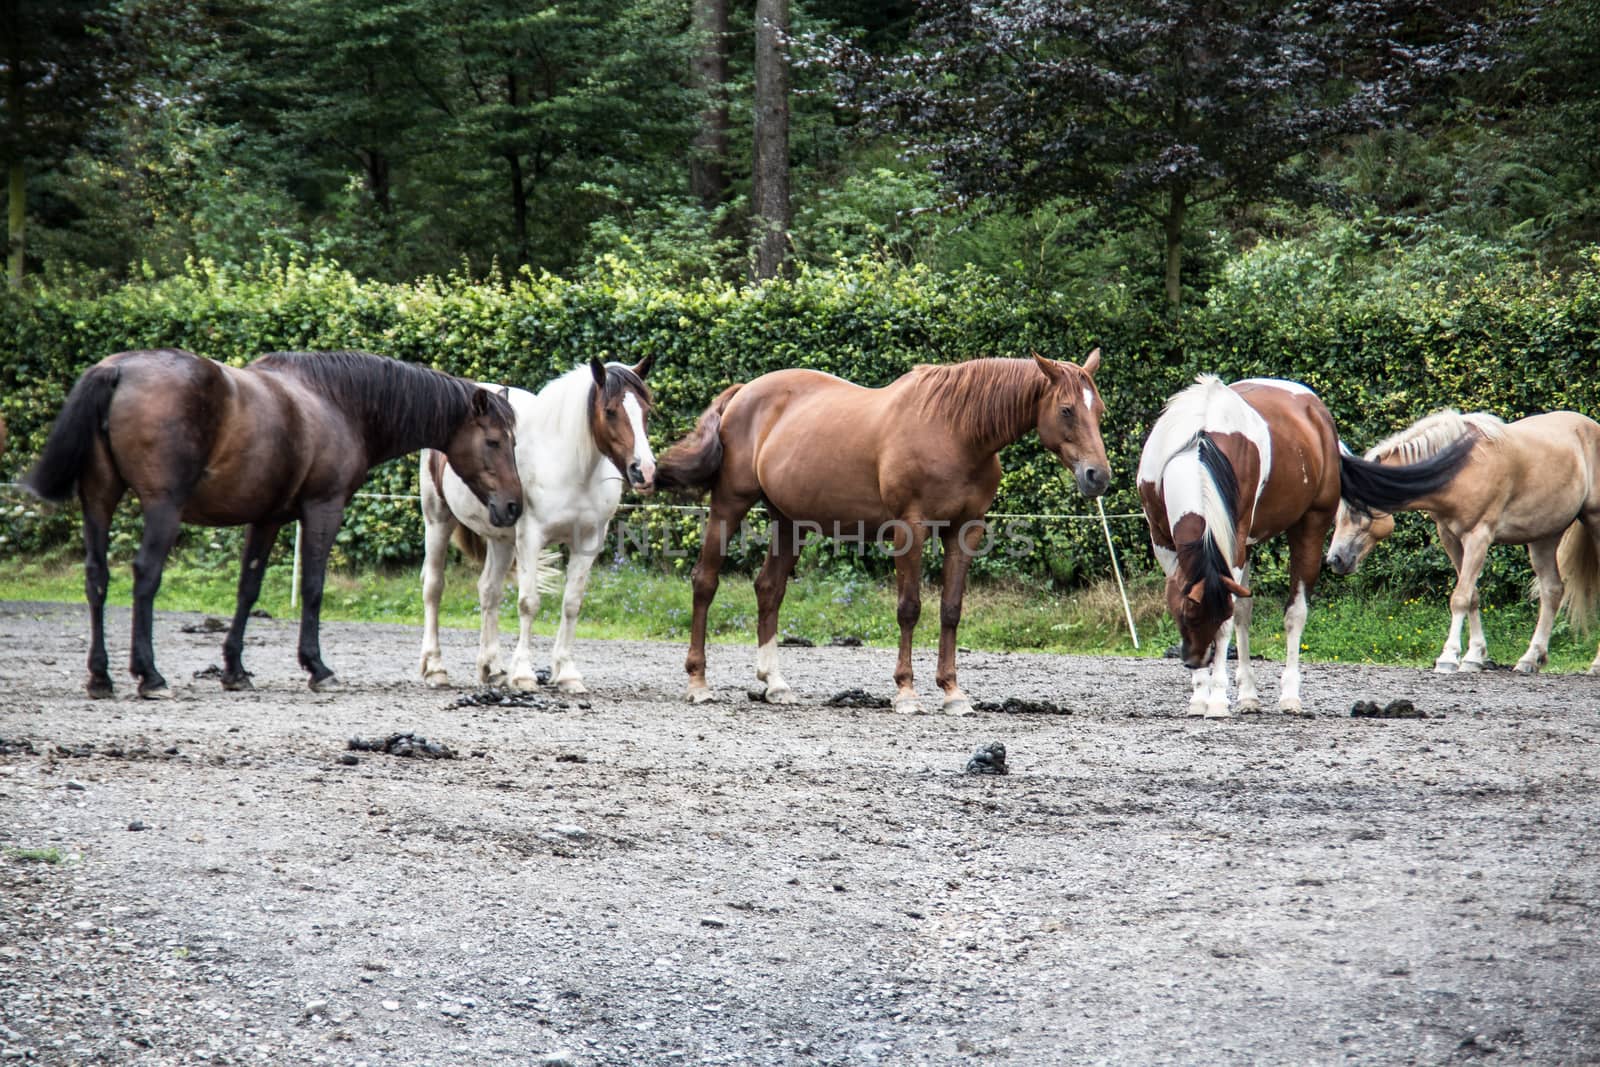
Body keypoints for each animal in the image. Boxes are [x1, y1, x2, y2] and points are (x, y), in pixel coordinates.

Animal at [23, 348, 524, 700]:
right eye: (494, 441)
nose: (514, 506)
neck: (337, 402)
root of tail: (119, 370)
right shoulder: (323, 509)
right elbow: (314, 587)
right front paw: (317, 668)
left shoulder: (266, 519)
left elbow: (249, 588)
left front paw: (234, 670)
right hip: (162, 508)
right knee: (145, 576)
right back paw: (150, 675)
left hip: (99, 500)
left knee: (97, 578)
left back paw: (100, 676)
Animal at [422, 356, 659, 694]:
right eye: (611, 411)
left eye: (646, 411)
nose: (645, 471)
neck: (568, 467)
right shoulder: (531, 539)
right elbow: (528, 603)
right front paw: (523, 674)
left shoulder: (588, 542)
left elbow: (572, 604)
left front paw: (567, 674)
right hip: (437, 518)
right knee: (433, 588)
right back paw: (435, 668)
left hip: (501, 539)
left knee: (489, 591)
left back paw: (492, 668)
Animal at [656, 351, 1107, 716]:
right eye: (1067, 409)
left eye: (1099, 410)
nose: (1097, 476)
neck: (956, 432)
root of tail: (743, 393)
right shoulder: (911, 529)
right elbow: (909, 608)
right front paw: (906, 692)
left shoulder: (966, 532)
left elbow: (951, 609)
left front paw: (952, 693)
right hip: (729, 506)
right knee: (705, 581)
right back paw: (698, 683)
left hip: (788, 520)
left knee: (769, 588)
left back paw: (775, 684)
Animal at [1139, 375, 1472, 716]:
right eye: (1187, 615)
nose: (1195, 659)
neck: (1199, 445)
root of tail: (1316, 410)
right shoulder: (1165, 543)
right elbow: (1229, 609)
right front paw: (1200, 698)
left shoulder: (1231, 545)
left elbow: (1229, 622)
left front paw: (1216, 700)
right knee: (1246, 611)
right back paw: (1248, 696)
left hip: (1310, 527)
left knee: (1295, 613)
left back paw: (1289, 696)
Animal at [1324, 412, 1600, 675]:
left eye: (1357, 510)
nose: (1335, 559)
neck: (1459, 469)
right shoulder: (1450, 538)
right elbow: (1472, 596)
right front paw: (1474, 657)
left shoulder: (1479, 537)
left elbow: (1460, 598)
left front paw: (1448, 658)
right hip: (1543, 536)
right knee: (1552, 591)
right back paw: (1530, 659)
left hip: (1594, 524)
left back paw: (1595, 664)